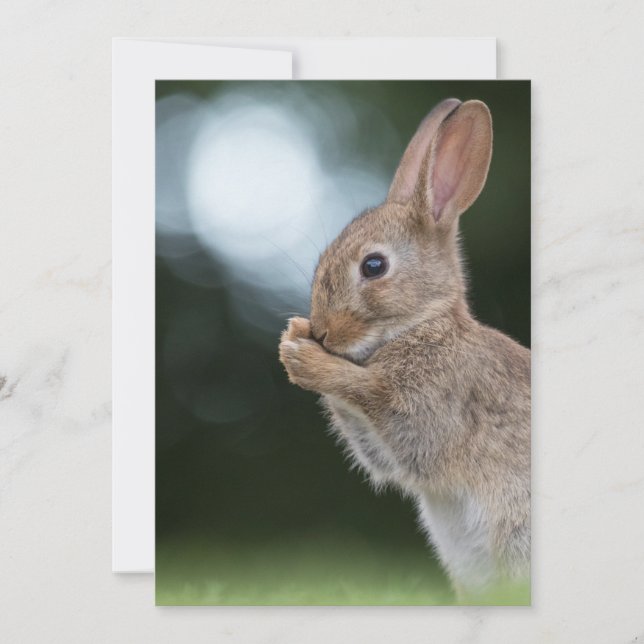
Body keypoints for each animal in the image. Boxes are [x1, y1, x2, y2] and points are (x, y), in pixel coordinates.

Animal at [279, 98, 530, 600]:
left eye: (374, 266)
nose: (325, 333)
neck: (423, 324)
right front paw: (293, 337)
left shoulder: (433, 409)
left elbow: (382, 406)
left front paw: (303, 357)